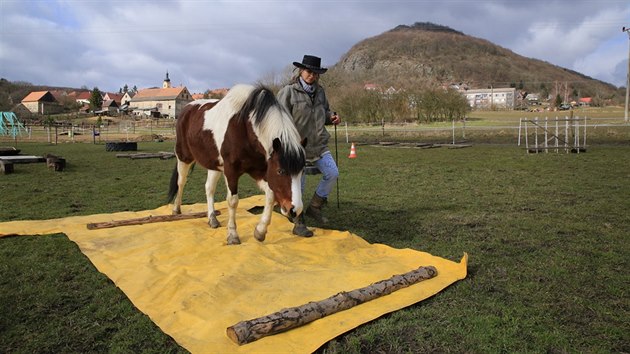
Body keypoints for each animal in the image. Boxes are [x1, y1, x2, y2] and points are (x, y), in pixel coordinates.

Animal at [168, 84, 306, 245]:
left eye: (301, 171)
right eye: (280, 171)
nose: (295, 210)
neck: (245, 127)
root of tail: (187, 109)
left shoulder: (259, 171)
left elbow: (271, 195)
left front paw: (260, 231)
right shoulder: (231, 171)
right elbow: (233, 201)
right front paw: (233, 235)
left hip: (214, 165)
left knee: (209, 188)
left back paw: (212, 218)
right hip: (183, 157)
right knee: (181, 182)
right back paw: (176, 210)